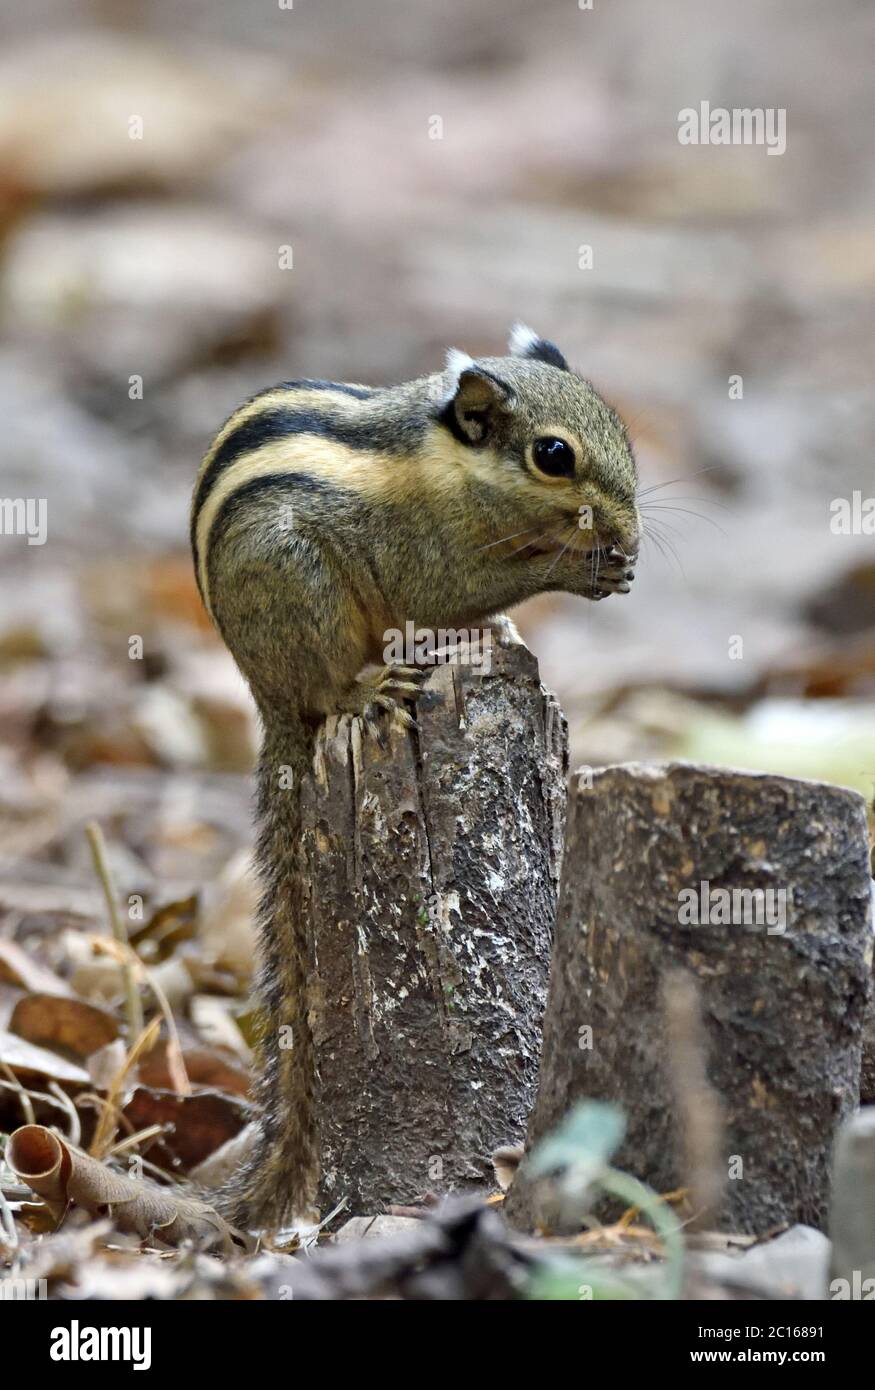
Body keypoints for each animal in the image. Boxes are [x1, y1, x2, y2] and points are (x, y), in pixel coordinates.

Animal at [190, 322, 637, 1228]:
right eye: (553, 455)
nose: (633, 534)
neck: (449, 466)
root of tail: (263, 695)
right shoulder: (420, 554)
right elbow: (452, 591)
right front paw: (577, 571)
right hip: (302, 591)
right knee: (327, 688)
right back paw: (365, 688)